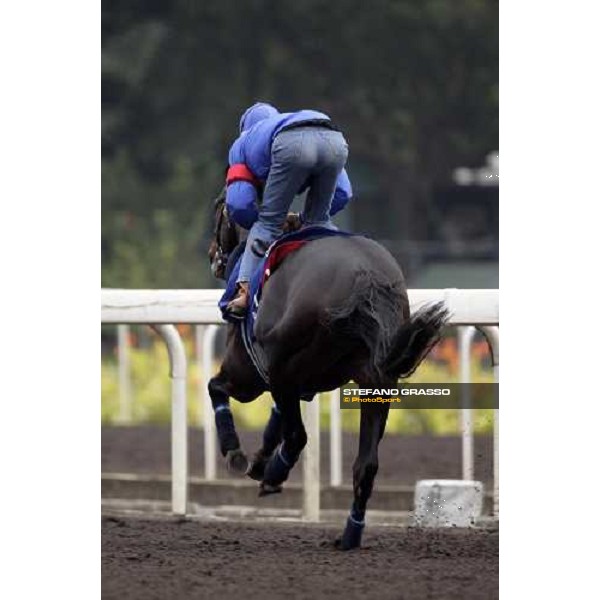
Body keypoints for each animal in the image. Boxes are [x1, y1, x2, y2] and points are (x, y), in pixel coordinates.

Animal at [206, 193, 446, 548]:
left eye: (219, 212)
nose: (213, 255)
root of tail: (365, 279)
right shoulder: (294, 382)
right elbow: (277, 418)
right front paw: (260, 461)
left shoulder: (250, 375)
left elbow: (216, 387)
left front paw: (238, 454)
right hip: (376, 382)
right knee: (366, 465)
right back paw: (349, 534)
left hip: (286, 365)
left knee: (299, 436)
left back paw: (276, 473)